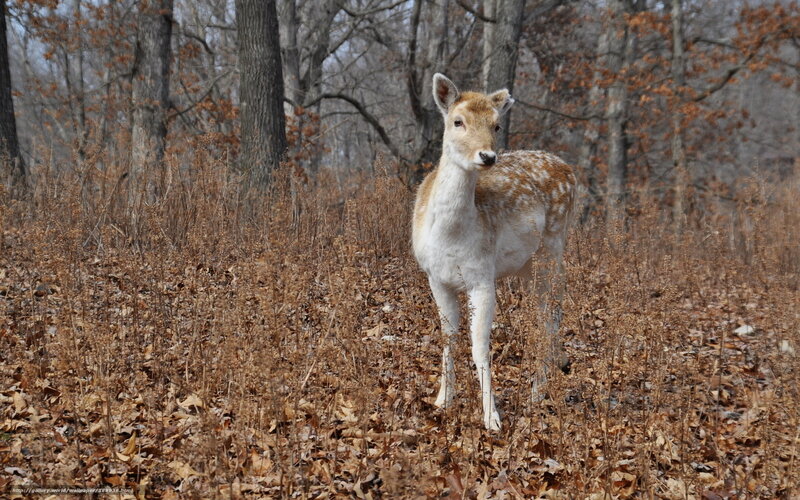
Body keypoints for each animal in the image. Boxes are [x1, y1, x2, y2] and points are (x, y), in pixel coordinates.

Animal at [412, 74, 577, 431]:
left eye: (497, 124)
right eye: (457, 121)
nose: (487, 156)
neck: (450, 237)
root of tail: (568, 169)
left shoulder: (482, 277)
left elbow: (479, 348)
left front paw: (492, 418)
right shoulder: (436, 278)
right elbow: (448, 337)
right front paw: (443, 400)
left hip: (553, 247)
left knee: (549, 315)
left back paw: (537, 392)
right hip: (527, 265)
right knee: (548, 314)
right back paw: (555, 370)